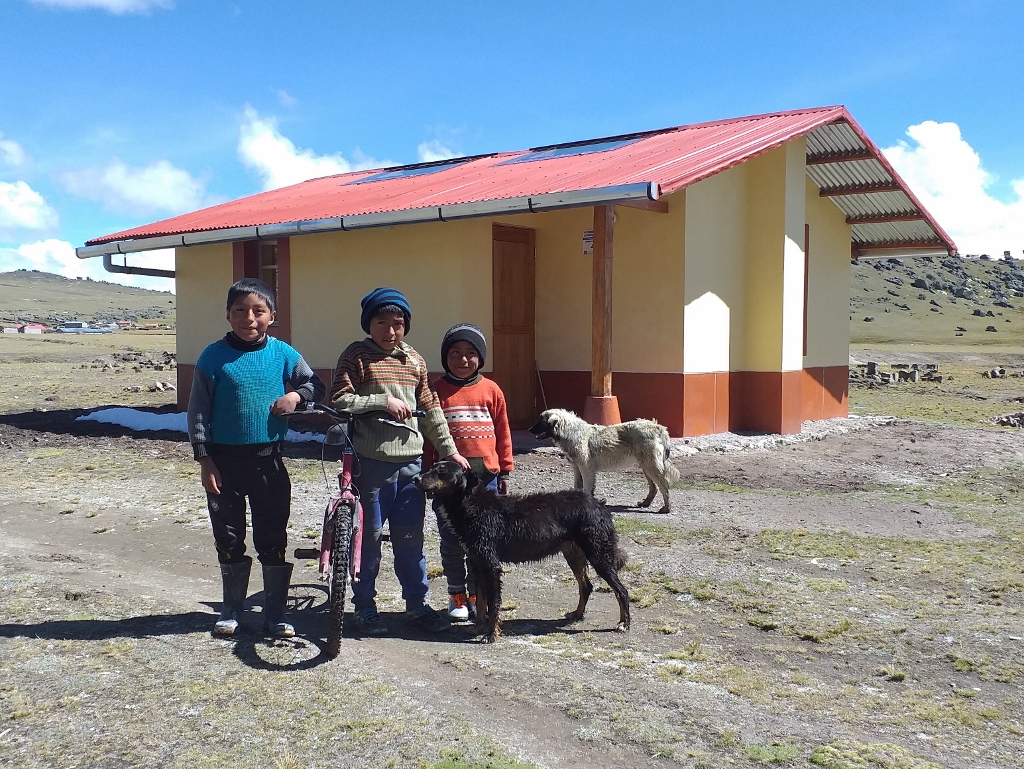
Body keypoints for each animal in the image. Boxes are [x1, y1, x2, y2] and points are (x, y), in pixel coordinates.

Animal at [411, 462, 626, 643]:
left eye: (442, 471)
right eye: (432, 467)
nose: (415, 479)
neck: (470, 503)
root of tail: (600, 505)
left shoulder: (491, 565)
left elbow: (493, 603)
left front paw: (491, 634)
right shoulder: (476, 563)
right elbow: (481, 602)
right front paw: (479, 628)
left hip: (599, 554)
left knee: (621, 590)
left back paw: (624, 623)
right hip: (573, 553)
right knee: (586, 586)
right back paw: (577, 614)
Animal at [528, 409, 679, 511]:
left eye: (542, 420)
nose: (529, 429)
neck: (570, 432)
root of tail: (657, 426)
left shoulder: (586, 468)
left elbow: (587, 488)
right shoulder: (577, 468)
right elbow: (578, 486)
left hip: (650, 465)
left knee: (664, 485)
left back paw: (666, 508)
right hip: (645, 465)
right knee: (654, 487)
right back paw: (645, 503)